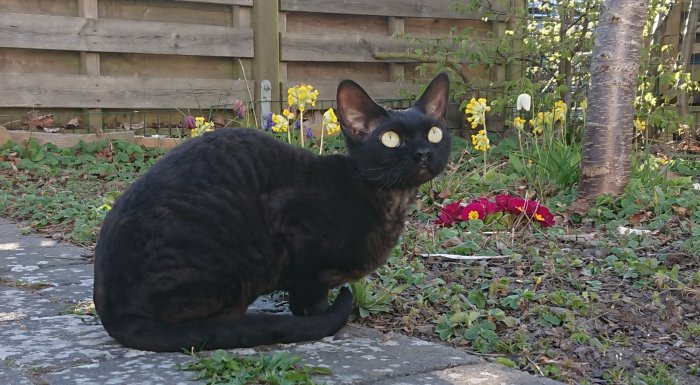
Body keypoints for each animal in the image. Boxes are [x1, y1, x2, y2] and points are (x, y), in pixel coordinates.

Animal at [93, 72, 452, 352]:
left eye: (434, 133)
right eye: (390, 139)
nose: (423, 152)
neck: (391, 200)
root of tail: (110, 312)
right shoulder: (297, 235)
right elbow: (313, 297)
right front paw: (318, 320)